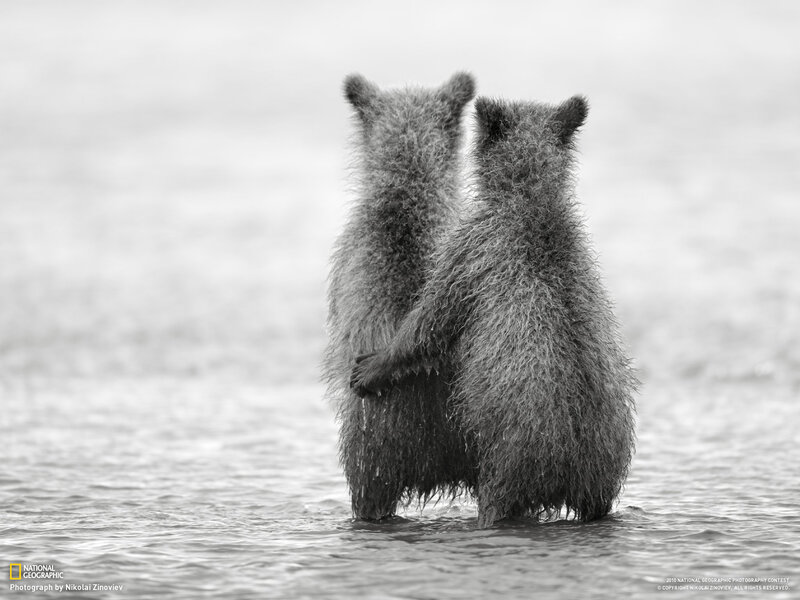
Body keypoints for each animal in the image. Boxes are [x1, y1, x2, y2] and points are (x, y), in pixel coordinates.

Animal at [351, 95, 637, 528]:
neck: (530, 197)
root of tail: (575, 461)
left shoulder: (472, 251)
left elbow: (430, 323)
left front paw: (370, 366)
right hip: (604, 463)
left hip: (512, 452)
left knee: (497, 499)